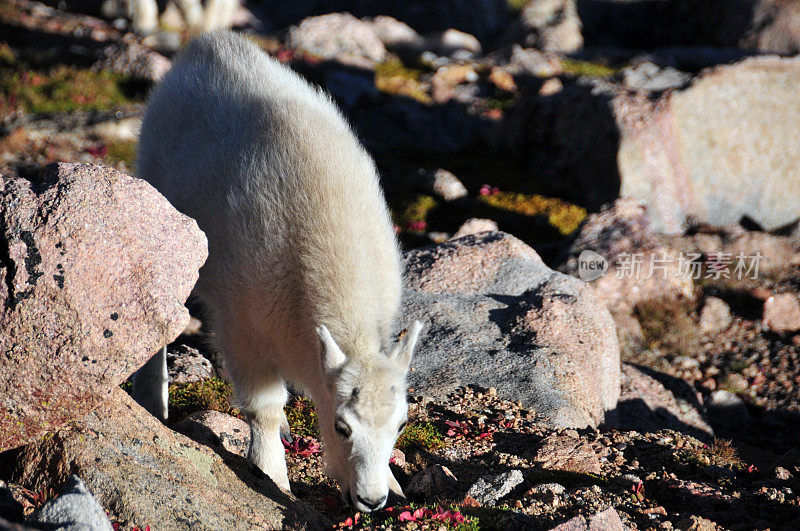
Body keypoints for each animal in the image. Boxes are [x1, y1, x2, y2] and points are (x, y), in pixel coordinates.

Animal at [134, 31, 422, 512]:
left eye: (401, 425)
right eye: (341, 427)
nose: (371, 501)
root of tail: (204, 47)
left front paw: (395, 482)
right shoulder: (242, 326)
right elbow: (263, 407)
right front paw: (272, 475)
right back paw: (152, 402)